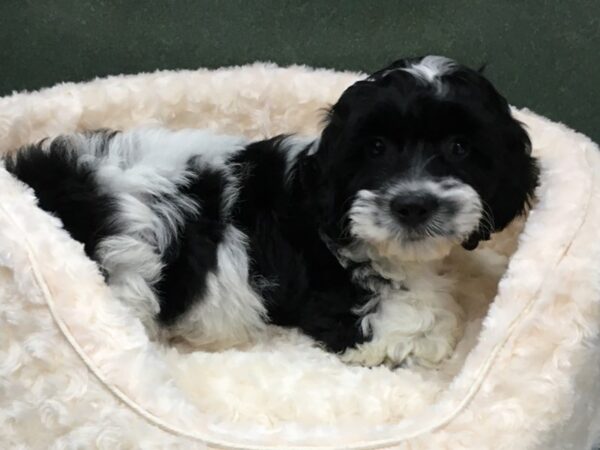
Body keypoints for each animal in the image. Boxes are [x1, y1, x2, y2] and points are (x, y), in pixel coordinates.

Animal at [3, 56, 540, 368]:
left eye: (460, 147)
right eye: (375, 148)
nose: (412, 204)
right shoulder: (337, 303)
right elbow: (407, 323)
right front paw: (435, 332)